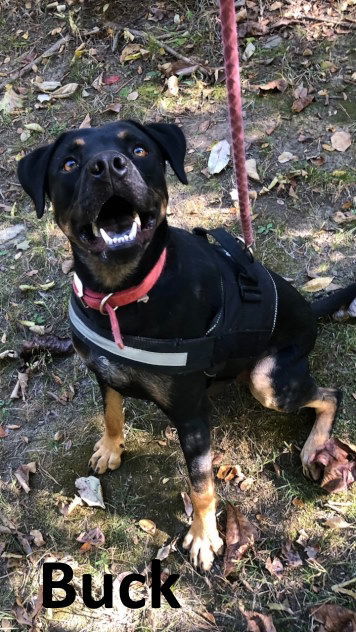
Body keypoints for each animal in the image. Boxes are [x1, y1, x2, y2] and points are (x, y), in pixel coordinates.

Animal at [18, 121, 356, 572]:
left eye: (139, 150)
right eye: (69, 163)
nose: (106, 165)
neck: (122, 294)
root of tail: (308, 307)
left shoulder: (192, 415)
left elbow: (201, 485)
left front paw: (204, 537)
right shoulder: (103, 372)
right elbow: (111, 411)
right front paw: (110, 447)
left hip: (268, 380)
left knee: (331, 394)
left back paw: (315, 445)